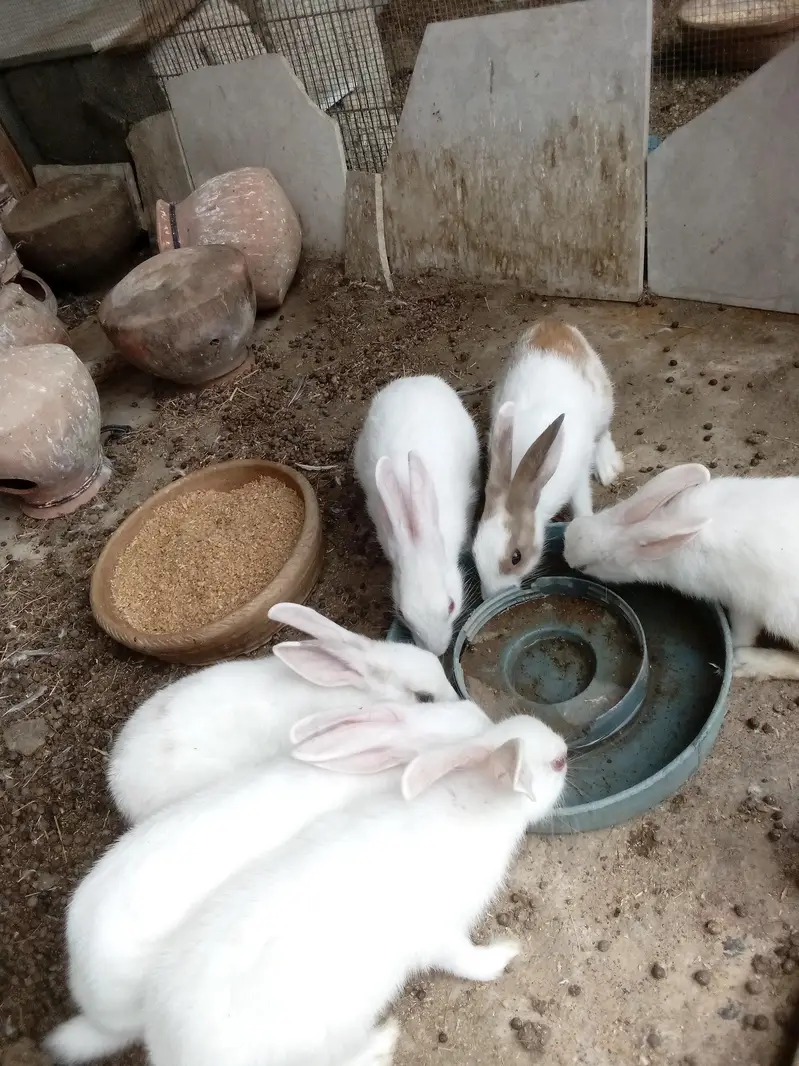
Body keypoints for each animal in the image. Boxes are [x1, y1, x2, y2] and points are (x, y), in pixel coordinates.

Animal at [140, 714, 568, 1066]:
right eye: (556, 765)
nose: (565, 747)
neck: (477, 804)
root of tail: (172, 1050)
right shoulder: (442, 932)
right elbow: (466, 961)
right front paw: (505, 953)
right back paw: (382, 1042)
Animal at [472, 318, 623, 601]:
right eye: (474, 551)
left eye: (516, 557)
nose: (492, 596)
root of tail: (554, 324)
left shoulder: (577, 477)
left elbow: (581, 505)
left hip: (603, 402)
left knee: (603, 433)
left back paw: (608, 468)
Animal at [562, 463, 799, 680]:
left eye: (585, 566)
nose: (567, 555)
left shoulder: (742, 601)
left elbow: (743, 632)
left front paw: (732, 651)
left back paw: (745, 662)